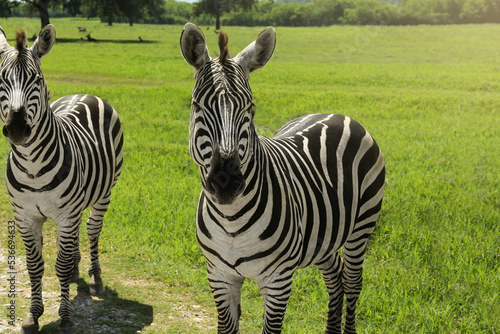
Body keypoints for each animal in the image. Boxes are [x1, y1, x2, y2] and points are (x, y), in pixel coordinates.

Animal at [0, 25, 123, 334]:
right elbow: (35, 267)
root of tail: (86, 93)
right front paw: (33, 315)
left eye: (37, 79)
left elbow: (61, 267)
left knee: (92, 230)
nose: (17, 128)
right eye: (2, 79)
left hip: (105, 193)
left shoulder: (65, 214)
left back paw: (95, 277)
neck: (32, 165)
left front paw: (66, 317)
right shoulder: (25, 216)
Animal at [182, 22, 384, 332]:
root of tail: (338, 114)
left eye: (250, 108)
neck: (231, 220)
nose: (226, 182)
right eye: (197, 106)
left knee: (352, 282)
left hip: (361, 227)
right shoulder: (219, 276)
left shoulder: (278, 281)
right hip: (321, 237)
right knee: (335, 275)